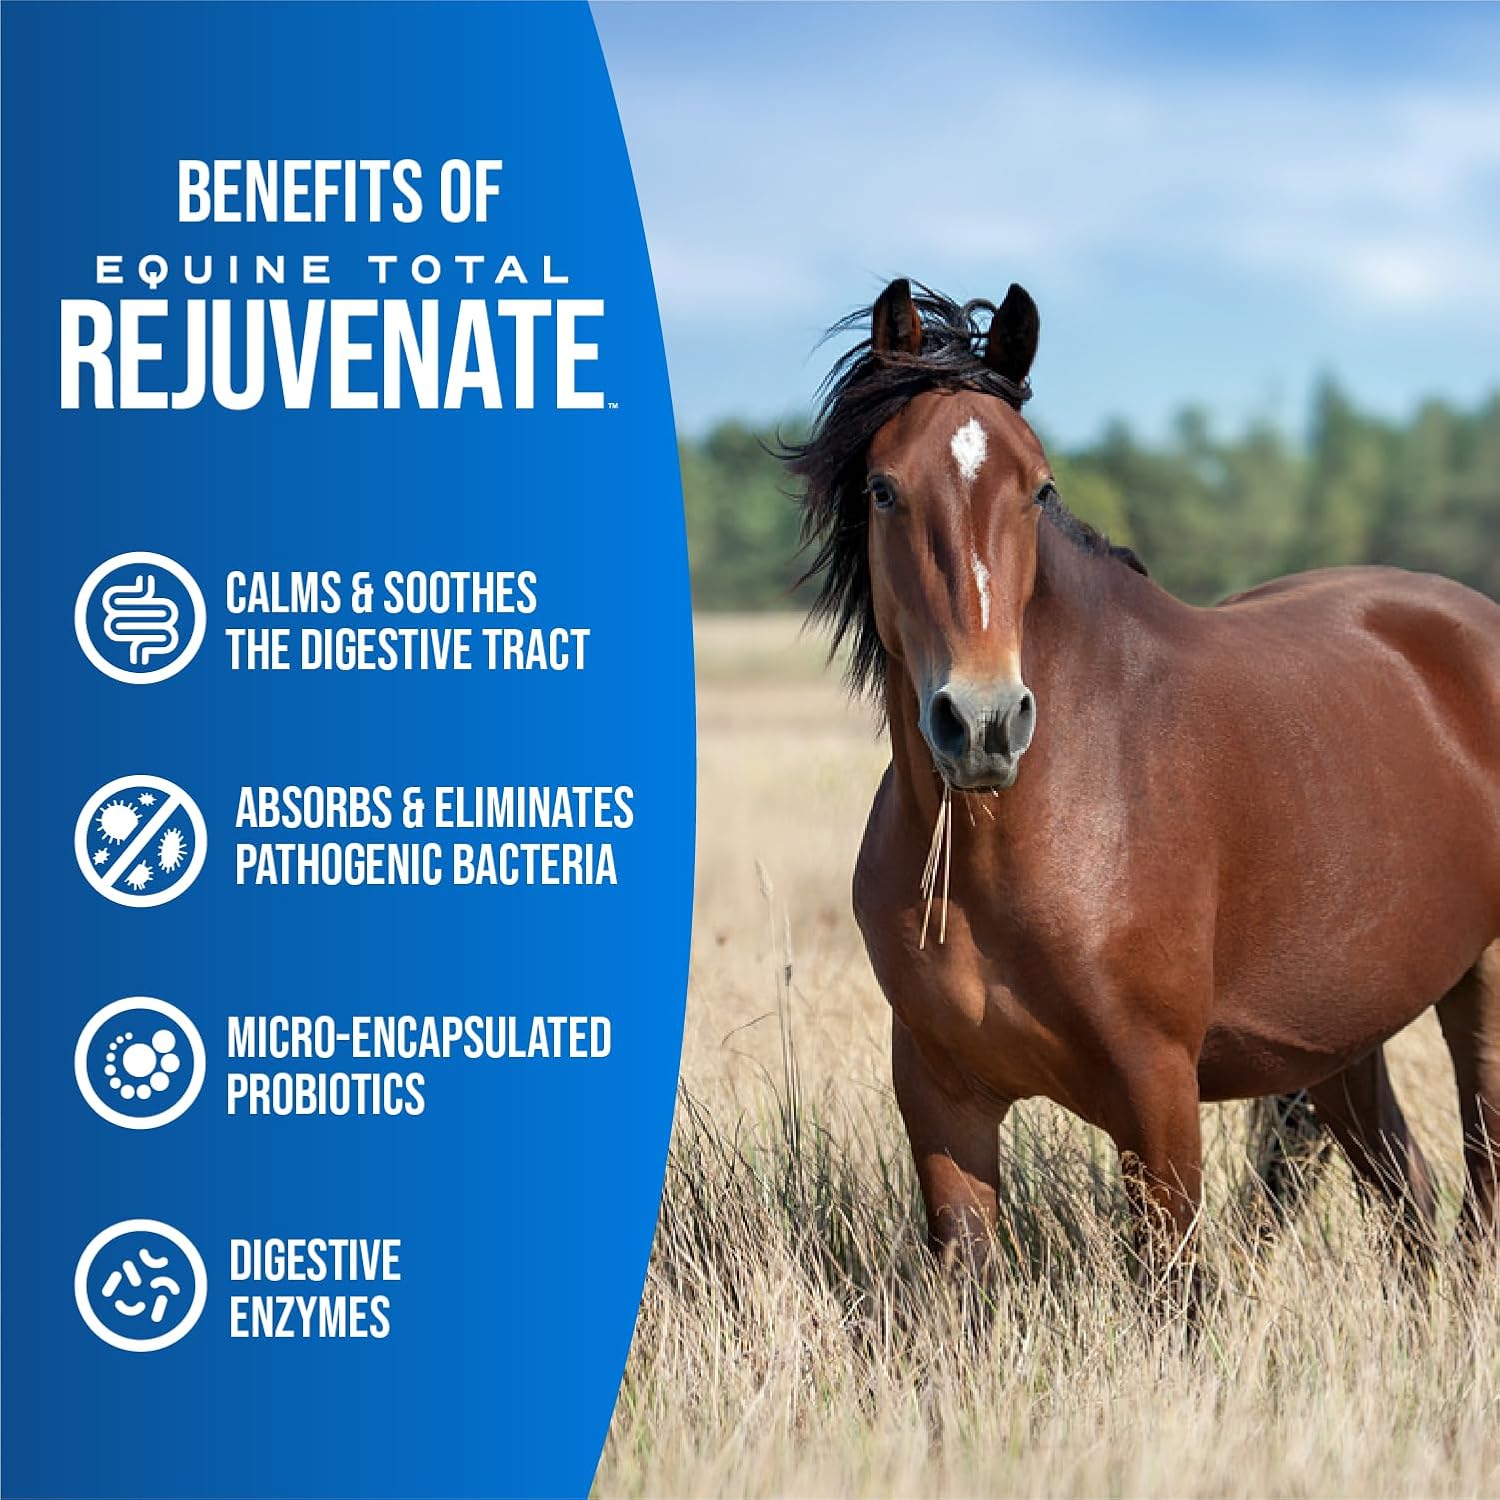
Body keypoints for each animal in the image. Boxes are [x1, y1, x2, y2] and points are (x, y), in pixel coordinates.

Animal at [787, 278, 1500, 1285]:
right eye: (884, 489)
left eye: (1038, 488)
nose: (984, 724)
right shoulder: (939, 1095)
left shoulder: (1156, 1093)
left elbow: (1176, 1291)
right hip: (1343, 1038)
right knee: (1410, 1198)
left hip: (1480, 996)